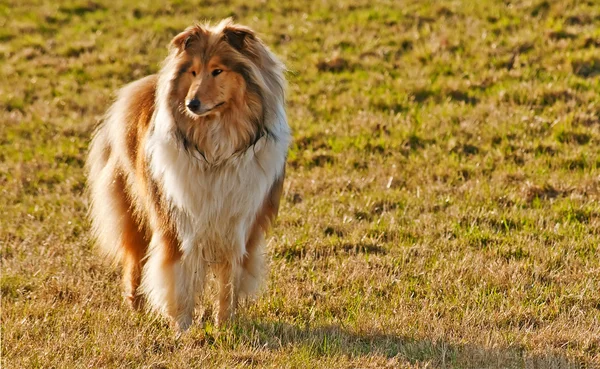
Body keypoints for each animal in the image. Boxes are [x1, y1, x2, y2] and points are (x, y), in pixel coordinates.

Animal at [85, 19, 290, 330]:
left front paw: (224, 325)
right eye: (193, 72)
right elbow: (178, 278)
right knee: (135, 260)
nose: (192, 104)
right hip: (135, 208)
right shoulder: (177, 222)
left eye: (217, 70)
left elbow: (229, 283)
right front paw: (182, 328)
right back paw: (135, 306)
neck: (216, 151)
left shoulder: (239, 226)